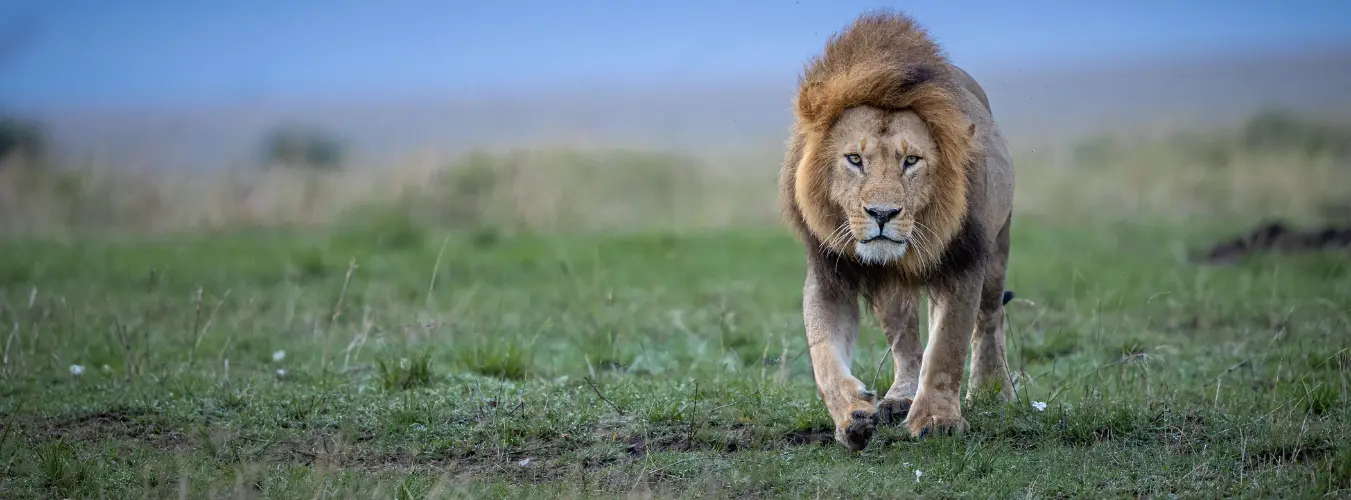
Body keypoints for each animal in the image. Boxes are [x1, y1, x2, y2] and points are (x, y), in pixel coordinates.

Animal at [778, 9, 1015, 451]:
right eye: (854, 159)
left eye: (911, 161)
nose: (883, 213)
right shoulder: (829, 271)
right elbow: (823, 355)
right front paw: (852, 415)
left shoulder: (963, 263)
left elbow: (948, 347)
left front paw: (937, 421)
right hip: (890, 290)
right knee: (906, 341)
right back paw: (901, 396)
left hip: (997, 250)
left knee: (990, 318)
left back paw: (994, 391)